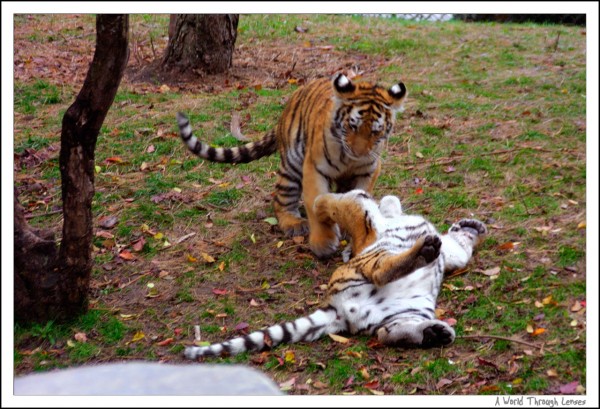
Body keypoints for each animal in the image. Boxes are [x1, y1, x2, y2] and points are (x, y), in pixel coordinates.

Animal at [176, 73, 406, 258]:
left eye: (375, 131)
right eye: (352, 126)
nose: (359, 153)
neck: (349, 159)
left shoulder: (368, 171)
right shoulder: (314, 168)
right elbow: (315, 205)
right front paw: (323, 244)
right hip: (293, 165)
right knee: (280, 200)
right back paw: (294, 223)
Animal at [184, 188, 488, 356]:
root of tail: (336, 309)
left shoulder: (450, 252)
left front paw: (470, 228)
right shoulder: (364, 214)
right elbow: (350, 202)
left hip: (404, 309)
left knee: (386, 330)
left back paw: (433, 332)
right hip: (379, 275)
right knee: (382, 279)